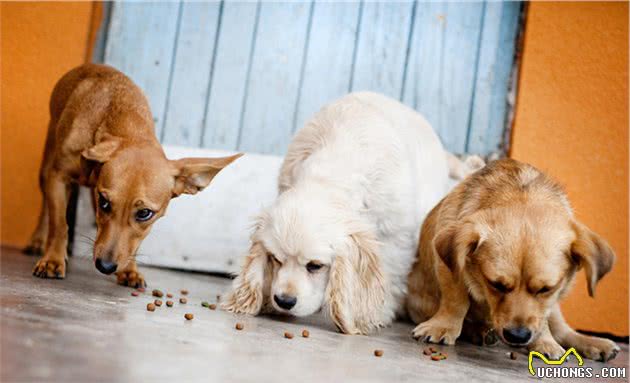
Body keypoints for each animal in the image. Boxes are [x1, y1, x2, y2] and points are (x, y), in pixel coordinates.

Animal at [25, 65, 242, 288]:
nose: (105, 266)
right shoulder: (59, 178)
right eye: (105, 202)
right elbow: (59, 224)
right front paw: (53, 260)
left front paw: (130, 270)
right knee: (46, 210)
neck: (126, 125)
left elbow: (134, 242)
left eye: (145, 213)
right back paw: (38, 241)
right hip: (46, 169)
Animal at [222, 91, 460, 334]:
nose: (284, 301)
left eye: (315, 266)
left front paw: (374, 314)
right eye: (275, 259)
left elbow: (391, 274)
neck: (330, 173)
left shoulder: (396, 236)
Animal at [404, 159, 624, 364]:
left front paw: (545, 342)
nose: (518, 336)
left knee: (562, 330)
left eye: (545, 289)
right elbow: (456, 300)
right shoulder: (449, 268)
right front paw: (443, 326)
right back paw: (477, 330)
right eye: (495, 284)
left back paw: (592, 343)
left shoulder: (551, 299)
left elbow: (542, 319)